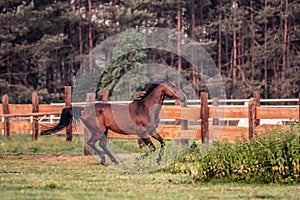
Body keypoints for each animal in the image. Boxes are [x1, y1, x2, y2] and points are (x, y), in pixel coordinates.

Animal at [41, 82, 186, 165]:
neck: (146, 109)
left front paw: (158, 160)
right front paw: (139, 159)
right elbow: (152, 148)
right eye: (173, 87)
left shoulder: (152, 131)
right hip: (98, 131)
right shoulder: (142, 133)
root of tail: (84, 110)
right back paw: (104, 160)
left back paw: (113, 161)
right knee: (91, 143)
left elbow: (162, 143)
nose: (184, 97)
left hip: (104, 131)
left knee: (101, 145)